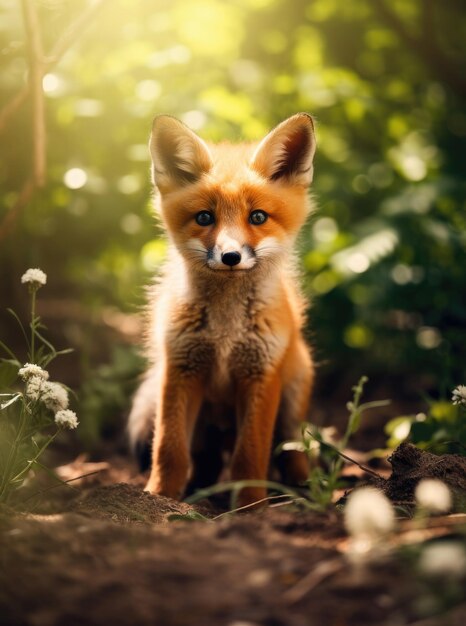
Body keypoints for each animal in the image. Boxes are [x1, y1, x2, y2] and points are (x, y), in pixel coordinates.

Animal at [127, 113, 316, 508]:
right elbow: (168, 449)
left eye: (257, 217)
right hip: (201, 424)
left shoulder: (261, 374)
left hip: (293, 399)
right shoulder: (181, 368)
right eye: (204, 218)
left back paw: (305, 490)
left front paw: (251, 506)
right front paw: (158, 497)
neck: (226, 333)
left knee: (291, 450)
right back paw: (199, 492)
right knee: (207, 461)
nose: (230, 257)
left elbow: (250, 454)